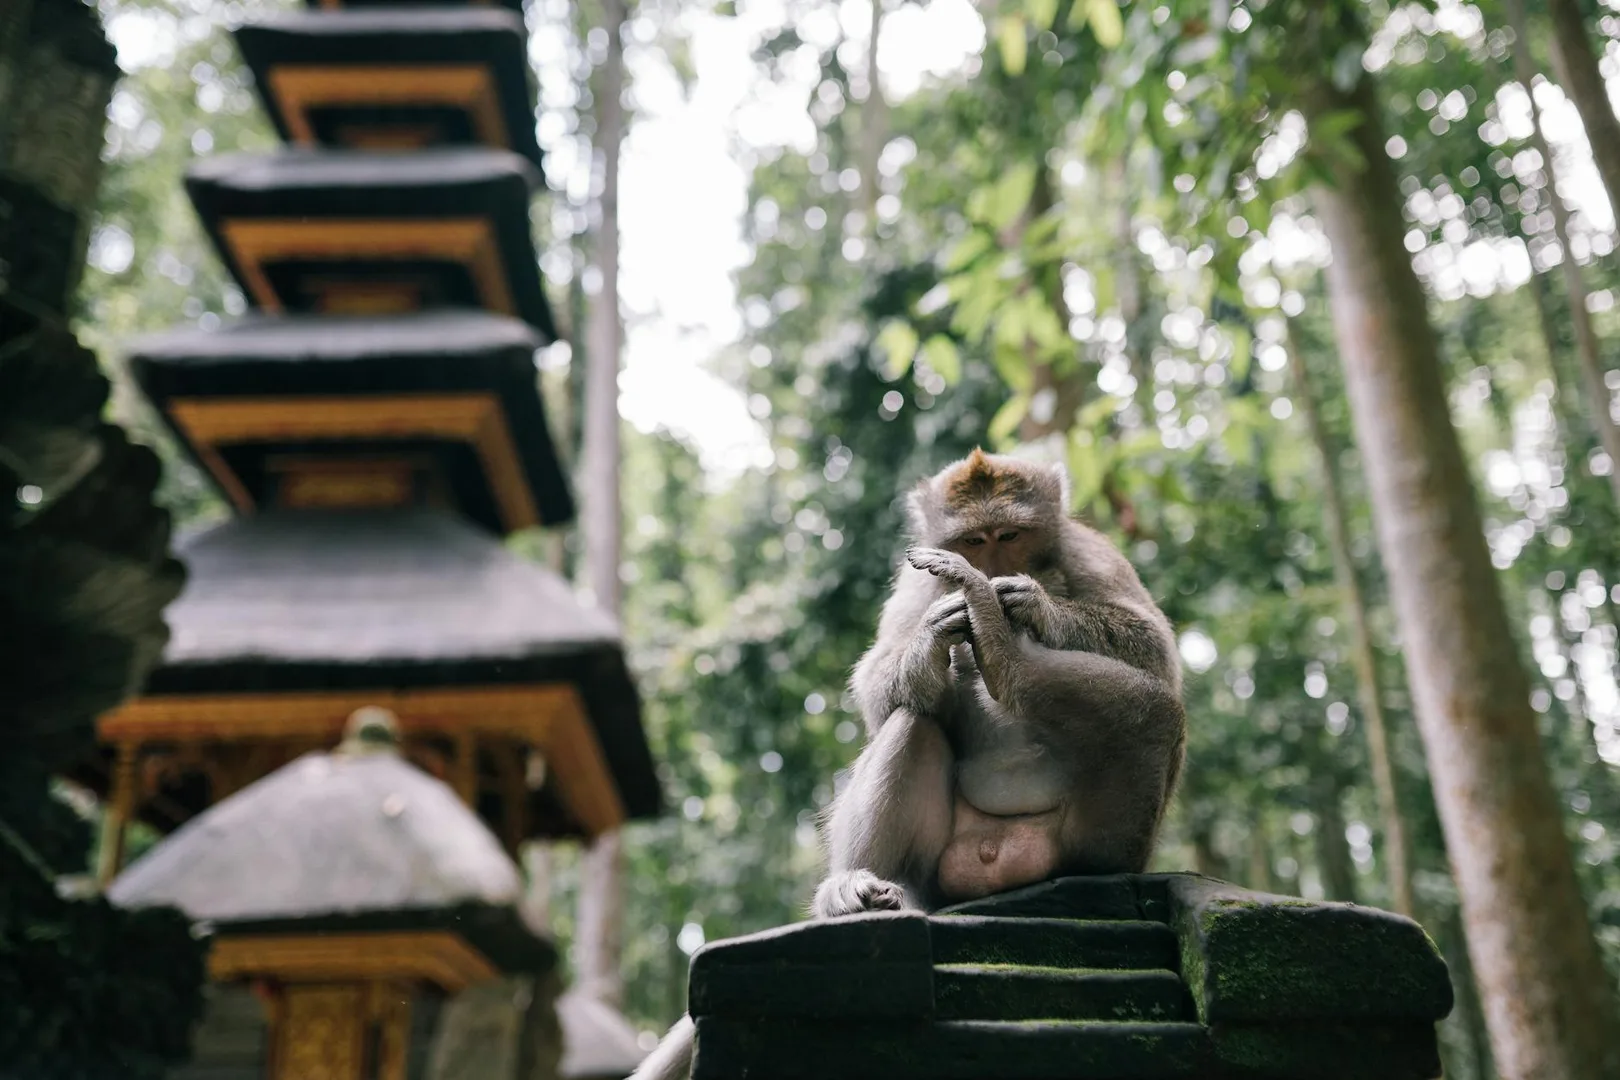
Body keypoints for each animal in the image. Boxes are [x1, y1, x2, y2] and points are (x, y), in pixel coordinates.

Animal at [629, 449, 1185, 1080]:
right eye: (973, 539)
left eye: (1010, 536)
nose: (984, 567)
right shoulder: (916, 582)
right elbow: (879, 688)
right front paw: (936, 632)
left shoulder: (1088, 551)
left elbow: (1153, 647)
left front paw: (1025, 601)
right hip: (931, 875)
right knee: (912, 724)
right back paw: (852, 891)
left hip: (1100, 842)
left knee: (1155, 713)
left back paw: (1006, 654)